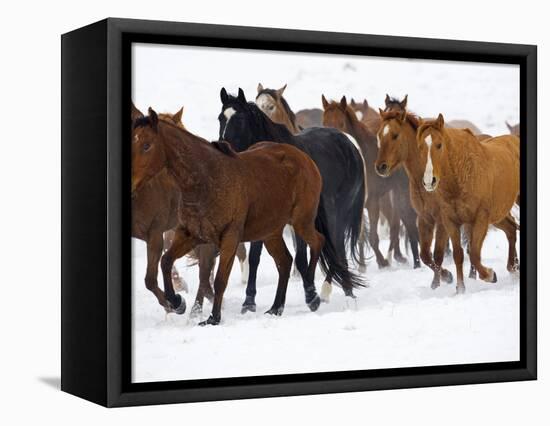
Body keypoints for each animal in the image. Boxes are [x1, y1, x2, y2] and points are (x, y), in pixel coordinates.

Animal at [132, 108, 326, 324]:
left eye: (147, 145)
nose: (131, 182)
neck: (207, 179)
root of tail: (304, 158)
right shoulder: (189, 235)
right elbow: (166, 261)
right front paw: (176, 302)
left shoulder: (229, 237)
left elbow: (219, 280)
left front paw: (212, 318)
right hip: (270, 232)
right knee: (284, 262)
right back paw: (276, 308)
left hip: (301, 221)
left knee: (318, 242)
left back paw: (312, 295)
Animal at [219, 87, 366, 312]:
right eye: (221, 118)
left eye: (240, 119)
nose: (223, 146)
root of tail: (350, 146)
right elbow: (255, 258)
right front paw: (249, 302)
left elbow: (301, 257)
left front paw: (310, 295)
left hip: (337, 215)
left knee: (337, 248)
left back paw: (334, 292)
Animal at [324, 96, 422, 270]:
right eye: (324, 122)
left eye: (341, 123)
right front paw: (362, 265)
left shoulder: (373, 201)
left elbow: (372, 235)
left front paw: (382, 261)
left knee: (397, 222)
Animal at [418, 114, 520, 292]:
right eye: (421, 147)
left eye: (439, 145)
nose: (429, 181)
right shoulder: (451, 221)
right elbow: (458, 254)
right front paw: (460, 288)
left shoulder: (480, 219)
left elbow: (473, 253)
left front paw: (490, 275)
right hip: (498, 214)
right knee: (511, 229)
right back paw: (513, 269)